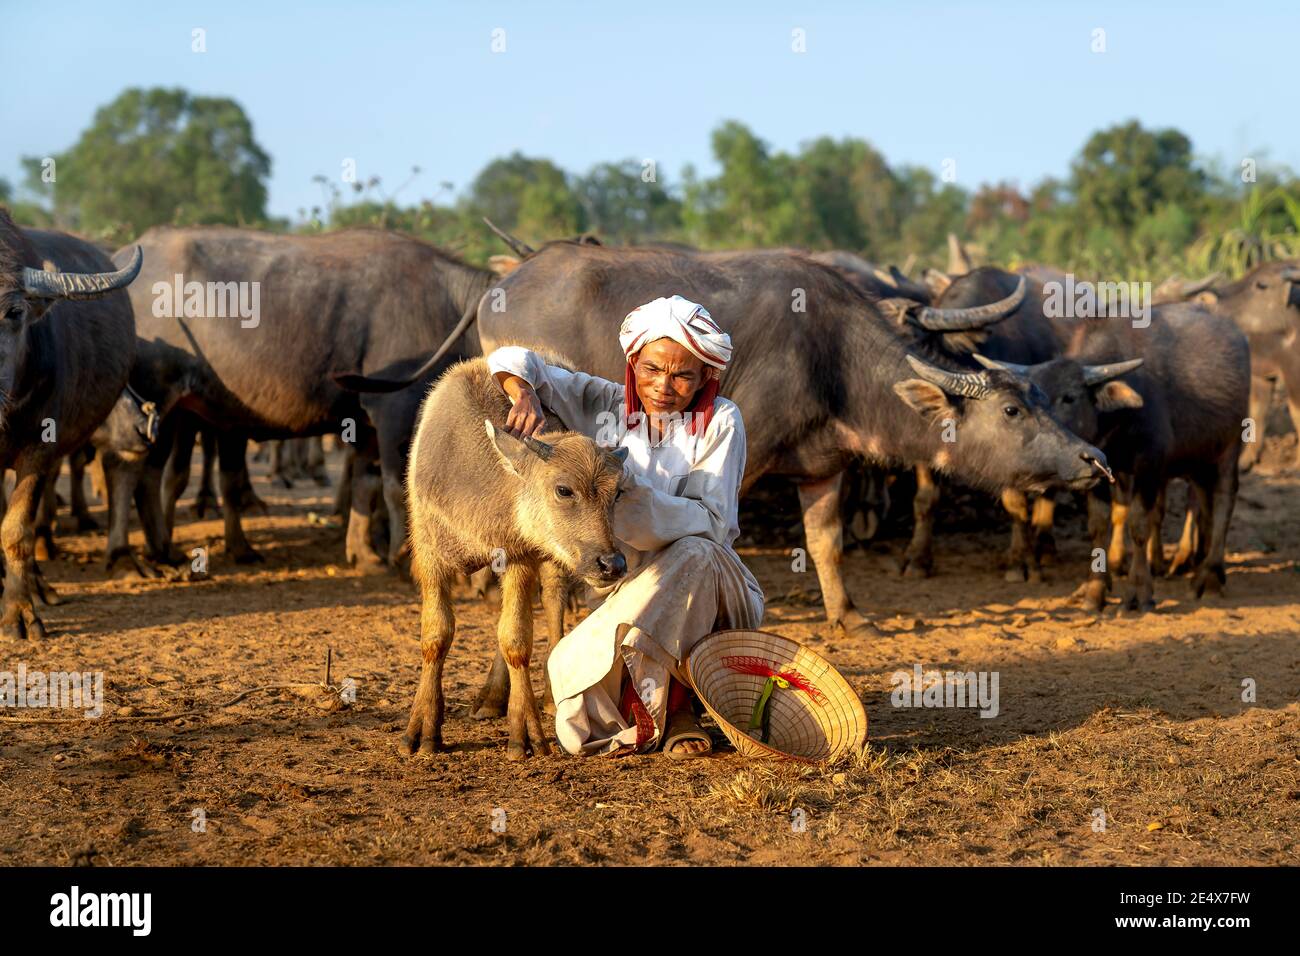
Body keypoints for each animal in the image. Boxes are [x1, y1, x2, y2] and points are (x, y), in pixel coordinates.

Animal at [116, 225, 493, 572]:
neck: (449, 305)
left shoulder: (365, 424)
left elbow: (365, 484)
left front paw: (364, 554)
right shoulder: (394, 410)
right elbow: (396, 487)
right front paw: (402, 556)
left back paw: (184, 549)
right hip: (155, 402)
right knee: (140, 471)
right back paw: (159, 553)